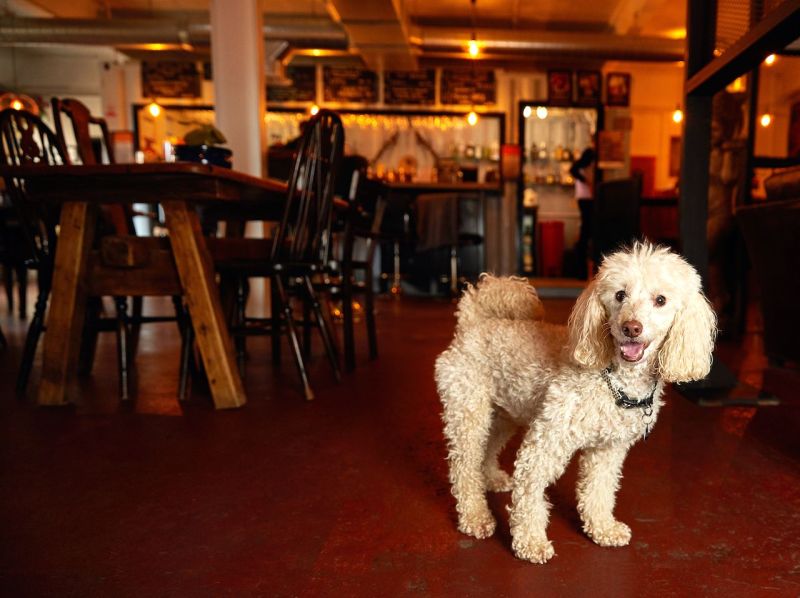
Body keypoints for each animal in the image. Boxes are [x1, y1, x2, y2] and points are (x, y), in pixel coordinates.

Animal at [438, 241, 720, 564]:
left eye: (660, 300)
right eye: (620, 295)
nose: (631, 328)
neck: (613, 379)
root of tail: (472, 324)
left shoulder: (608, 450)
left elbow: (599, 490)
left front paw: (602, 528)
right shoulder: (544, 443)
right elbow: (529, 496)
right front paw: (530, 541)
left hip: (503, 414)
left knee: (488, 446)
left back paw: (492, 478)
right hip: (468, 411)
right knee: (463, 466)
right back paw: (475, 516)